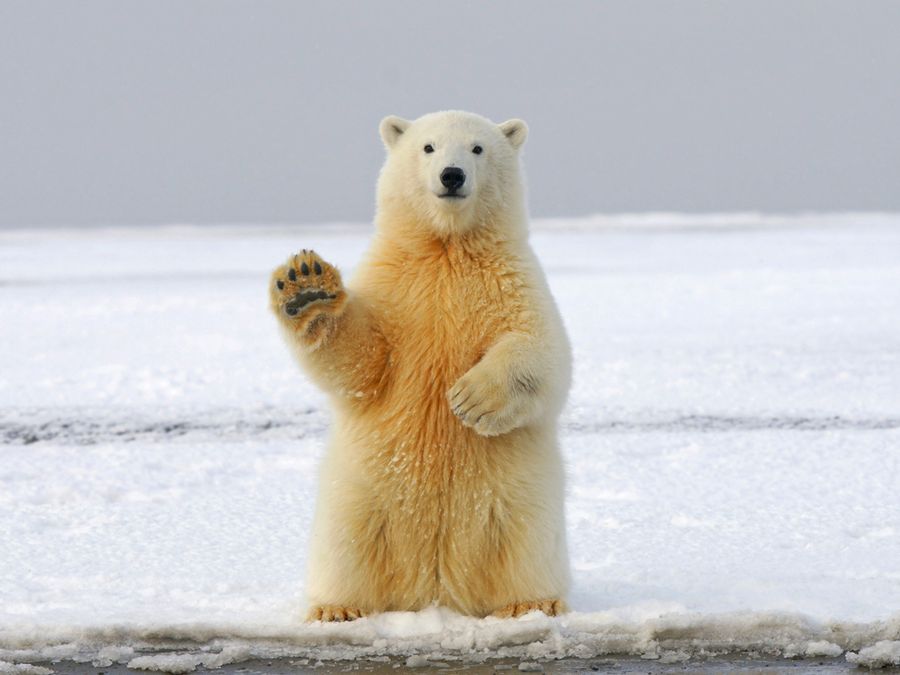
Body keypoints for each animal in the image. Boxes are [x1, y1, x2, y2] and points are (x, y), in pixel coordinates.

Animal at [269, 110, 571, 621]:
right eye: (428, 147)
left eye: (477, 148)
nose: (452, 175)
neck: (446, 248)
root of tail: (435, 589)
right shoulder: (395, 287)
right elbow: (363, 362)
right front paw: (306, 287)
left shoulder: (512, 280)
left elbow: (542, 350)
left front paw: (471, 399)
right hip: (360, 495)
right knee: (346, 546)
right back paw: (336, 608)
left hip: (519, 498)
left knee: (525, 544)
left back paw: (533, 603)